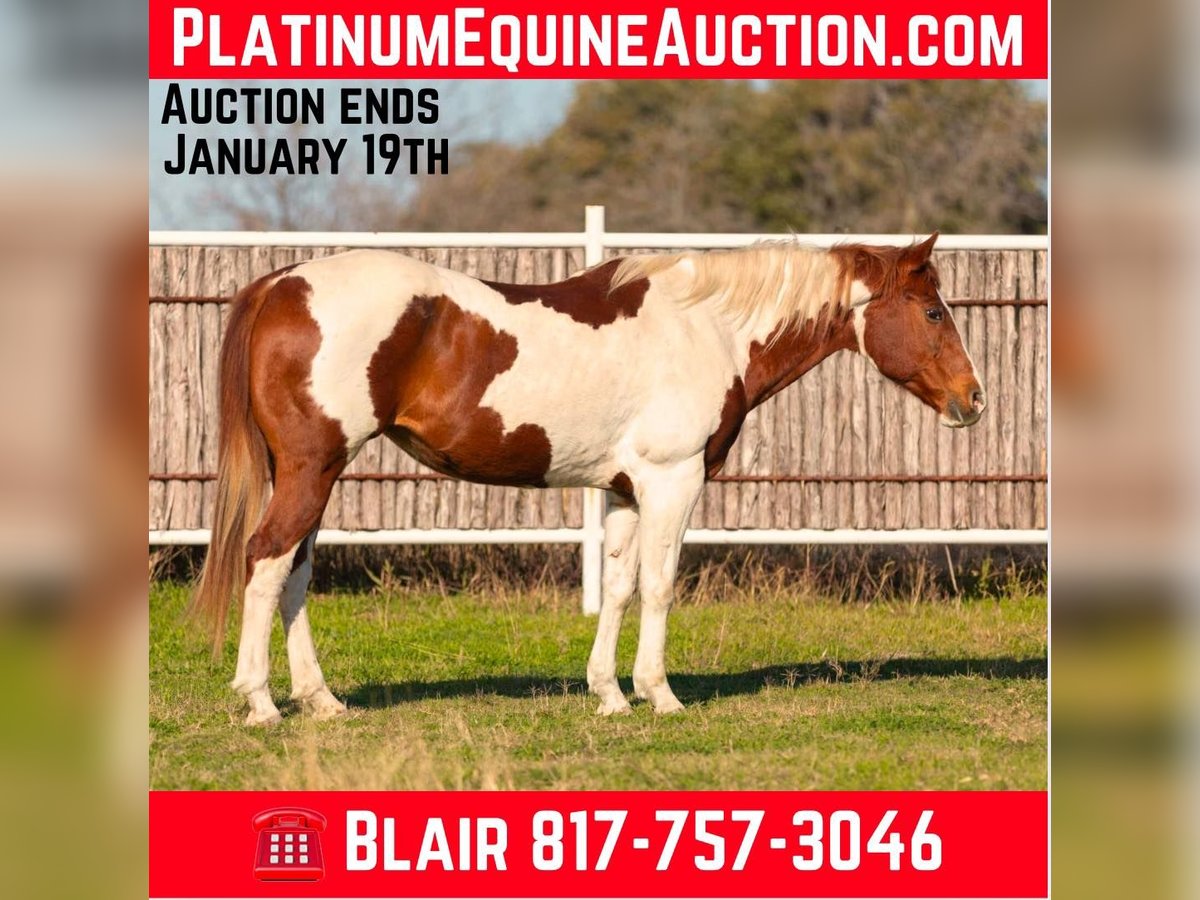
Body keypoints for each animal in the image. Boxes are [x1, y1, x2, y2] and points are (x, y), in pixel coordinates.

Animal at [191, 232, 985, 725]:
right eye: (932, 310)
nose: (974, 400)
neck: (707, 328)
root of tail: (281, 284)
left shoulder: (625, 489)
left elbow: (621, 584)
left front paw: (609, 694)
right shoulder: (672, 481)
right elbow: (661, 585)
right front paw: (660, 695)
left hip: (315, 475)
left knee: (294, 572)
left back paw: (320, 700)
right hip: (310, 470)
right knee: (266, 561)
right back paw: (261, 702)